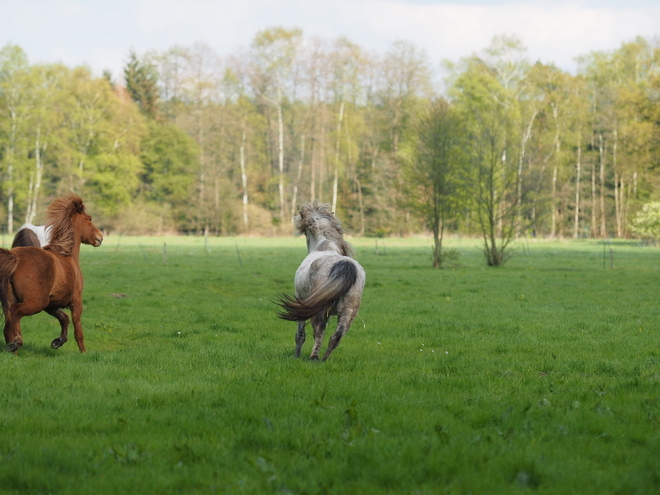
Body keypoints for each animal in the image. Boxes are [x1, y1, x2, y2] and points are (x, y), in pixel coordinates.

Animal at [0, 196, 103, 354]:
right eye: (89, 219)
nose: (100, 237)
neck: (67, 255)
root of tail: (15, 258)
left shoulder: (51, 305)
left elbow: (64, 318)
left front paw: (57, 341)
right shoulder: (76, 301)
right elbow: (78, 329)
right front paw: (83, 352)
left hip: (11, 302)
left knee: (7, 328)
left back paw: (13, 351)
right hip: (35, 303)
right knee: (16, 313)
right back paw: (17, 343)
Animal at [274, 201, 366, 360]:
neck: (324, 246)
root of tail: (345, 266)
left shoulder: (303, 302)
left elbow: (300, 334)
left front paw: (296, 355)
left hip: (318, 309)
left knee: (319, 330)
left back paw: (314, 357)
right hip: (349, 311)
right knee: (337, 336)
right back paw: (324, 359)